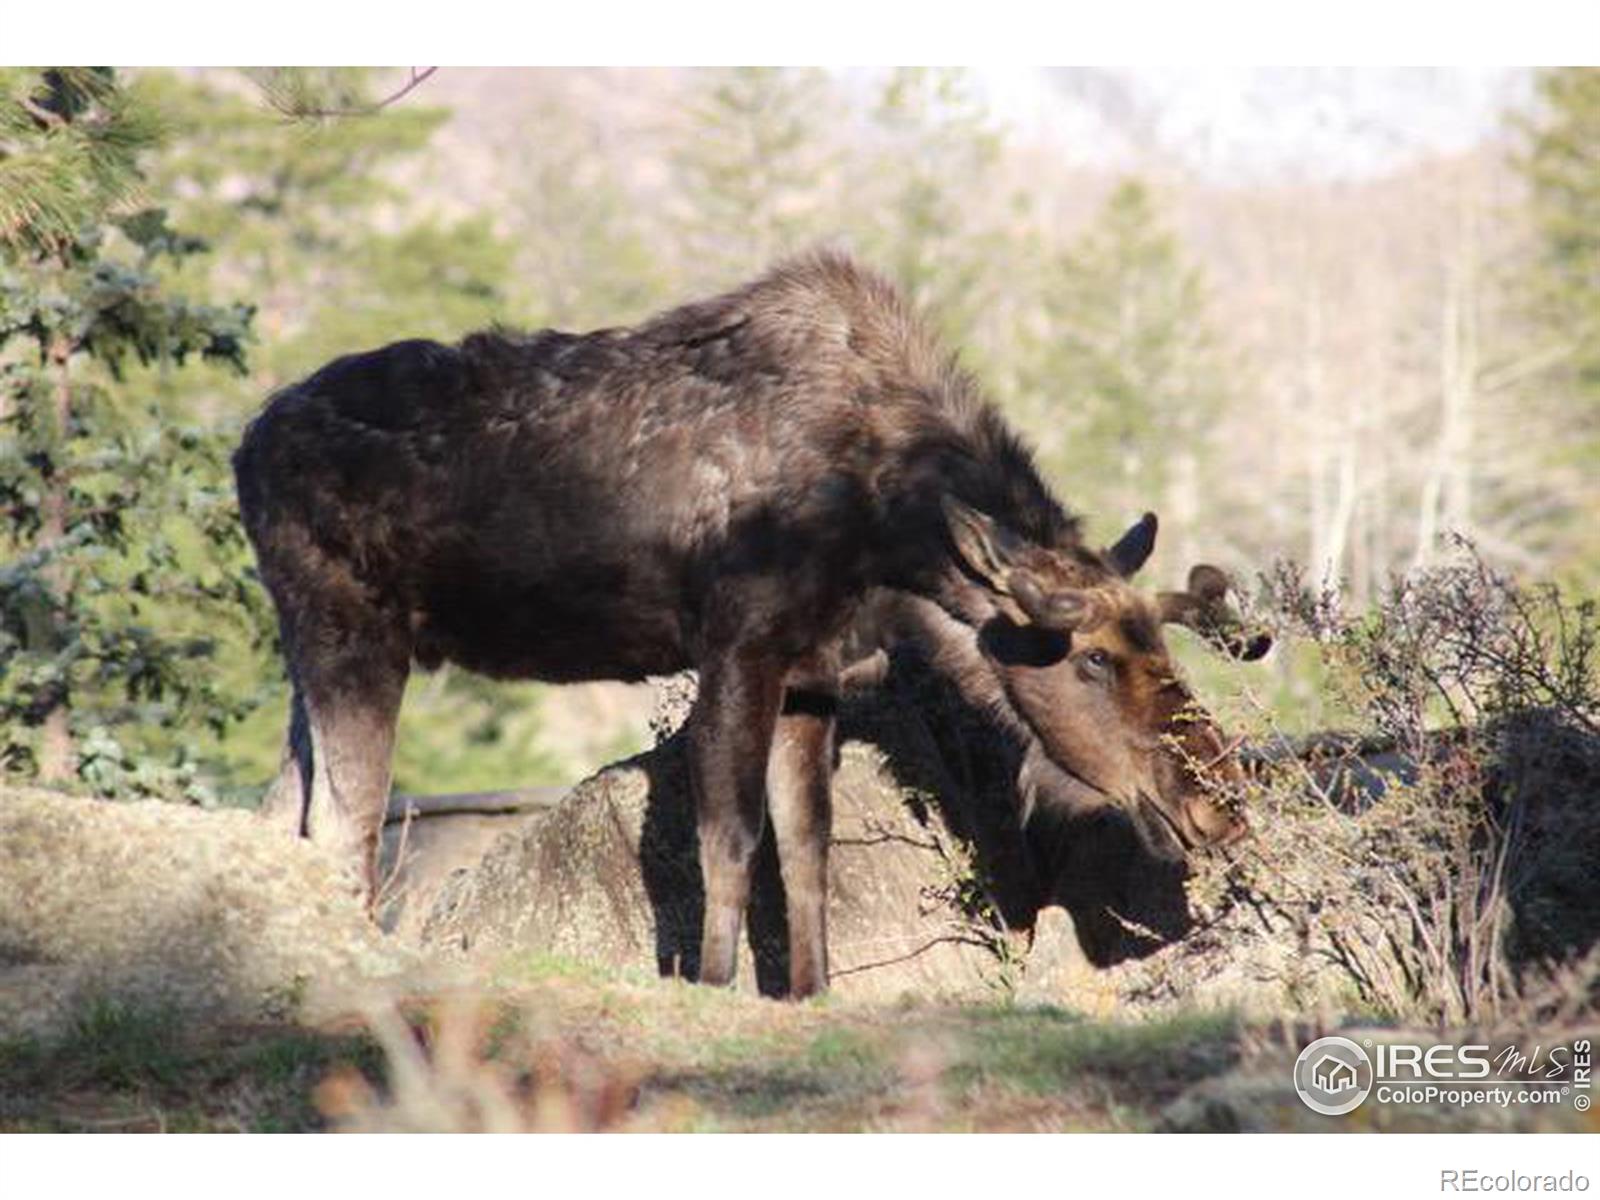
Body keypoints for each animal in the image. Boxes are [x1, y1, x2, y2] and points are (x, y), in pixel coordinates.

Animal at [232, 256, 1267, 1004]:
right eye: (1091, 660)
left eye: (1158, 647)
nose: (1219, 803)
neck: (887, 536)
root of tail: (244, 444)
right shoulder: (737, 645)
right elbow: (727, 837)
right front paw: (716, 982)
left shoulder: (813, 673)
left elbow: (805, 847)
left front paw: (809, 992)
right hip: (354, 628)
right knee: (346, 821)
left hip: (306, 650)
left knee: (282, 807)